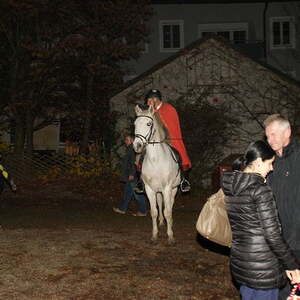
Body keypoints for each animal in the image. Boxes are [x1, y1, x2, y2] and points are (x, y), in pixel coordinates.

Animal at [133, 104, 180, 243]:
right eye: (135, 124)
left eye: (148, 124)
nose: (137, 145)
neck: (155, 160)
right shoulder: (149, 189)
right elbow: (153, 212)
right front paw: (154, 235)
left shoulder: (167, 188)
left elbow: (168, 211)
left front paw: (170, 236)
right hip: (158, 191)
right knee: (160, 204)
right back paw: (161, 222)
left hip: (173, 189)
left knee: (170, 205)